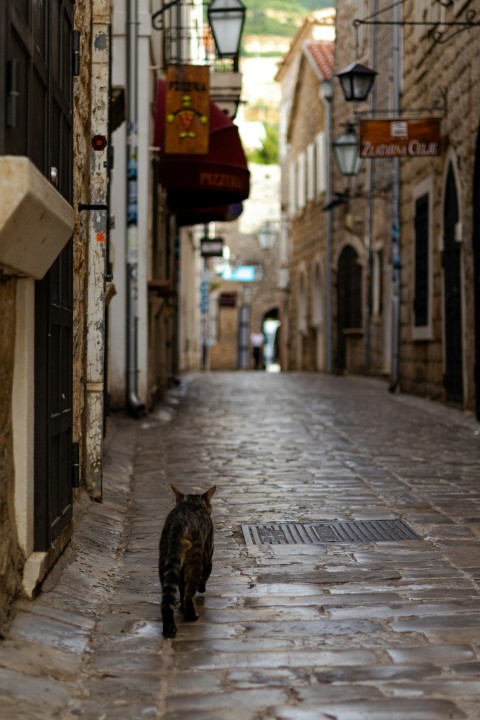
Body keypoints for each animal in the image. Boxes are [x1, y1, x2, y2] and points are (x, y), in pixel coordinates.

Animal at [159, 486, 216, 640]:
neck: (192, 503)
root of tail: (179, 521)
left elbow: (181, 588)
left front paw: (181, 607)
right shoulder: (208, 554)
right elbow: (205, 576)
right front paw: (201, 589)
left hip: (164, 558)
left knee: (168, 596)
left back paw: (169, 626)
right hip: (195, 560)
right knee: (189, 594)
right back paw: (191, 616)